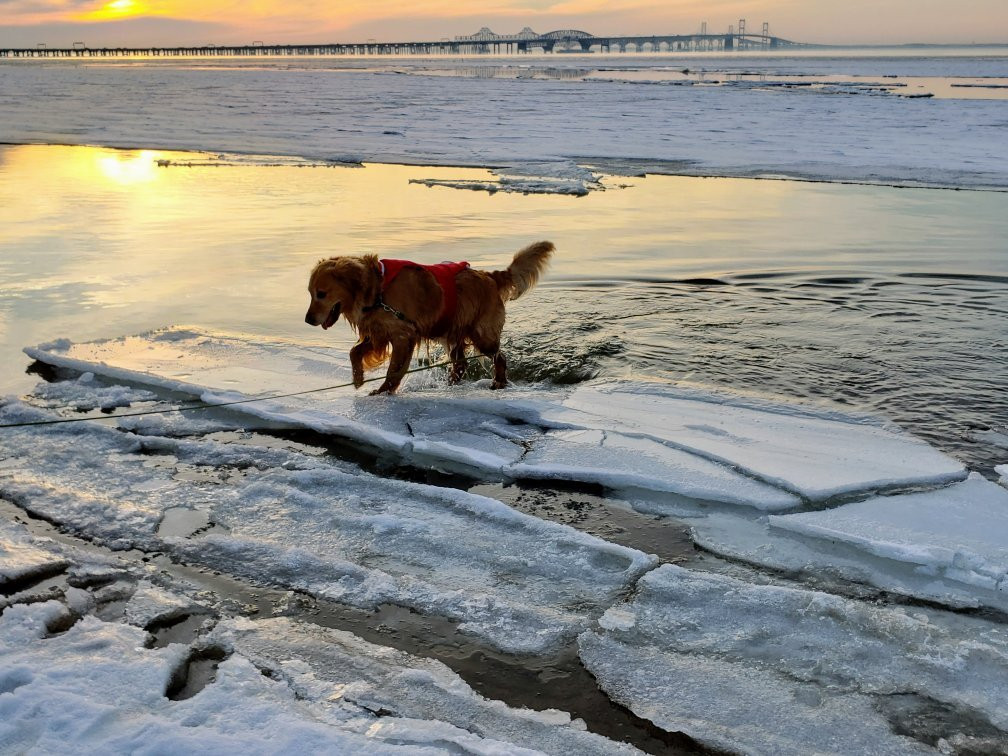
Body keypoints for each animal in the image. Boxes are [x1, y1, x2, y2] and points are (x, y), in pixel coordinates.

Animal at [306, 242, 556, 397]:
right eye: (310, 292)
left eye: (321, 294)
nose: (308, 320)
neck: (378, 290)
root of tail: (490, 276)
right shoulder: (378, 331)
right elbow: (354, 351)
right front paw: (358, 378)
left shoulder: (403, 334)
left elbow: (393, 370)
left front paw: (383, 391)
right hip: (452, 332)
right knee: (461, 363)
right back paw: (451, 384)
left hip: (481, 333)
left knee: (500, 356)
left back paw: (499, 382)